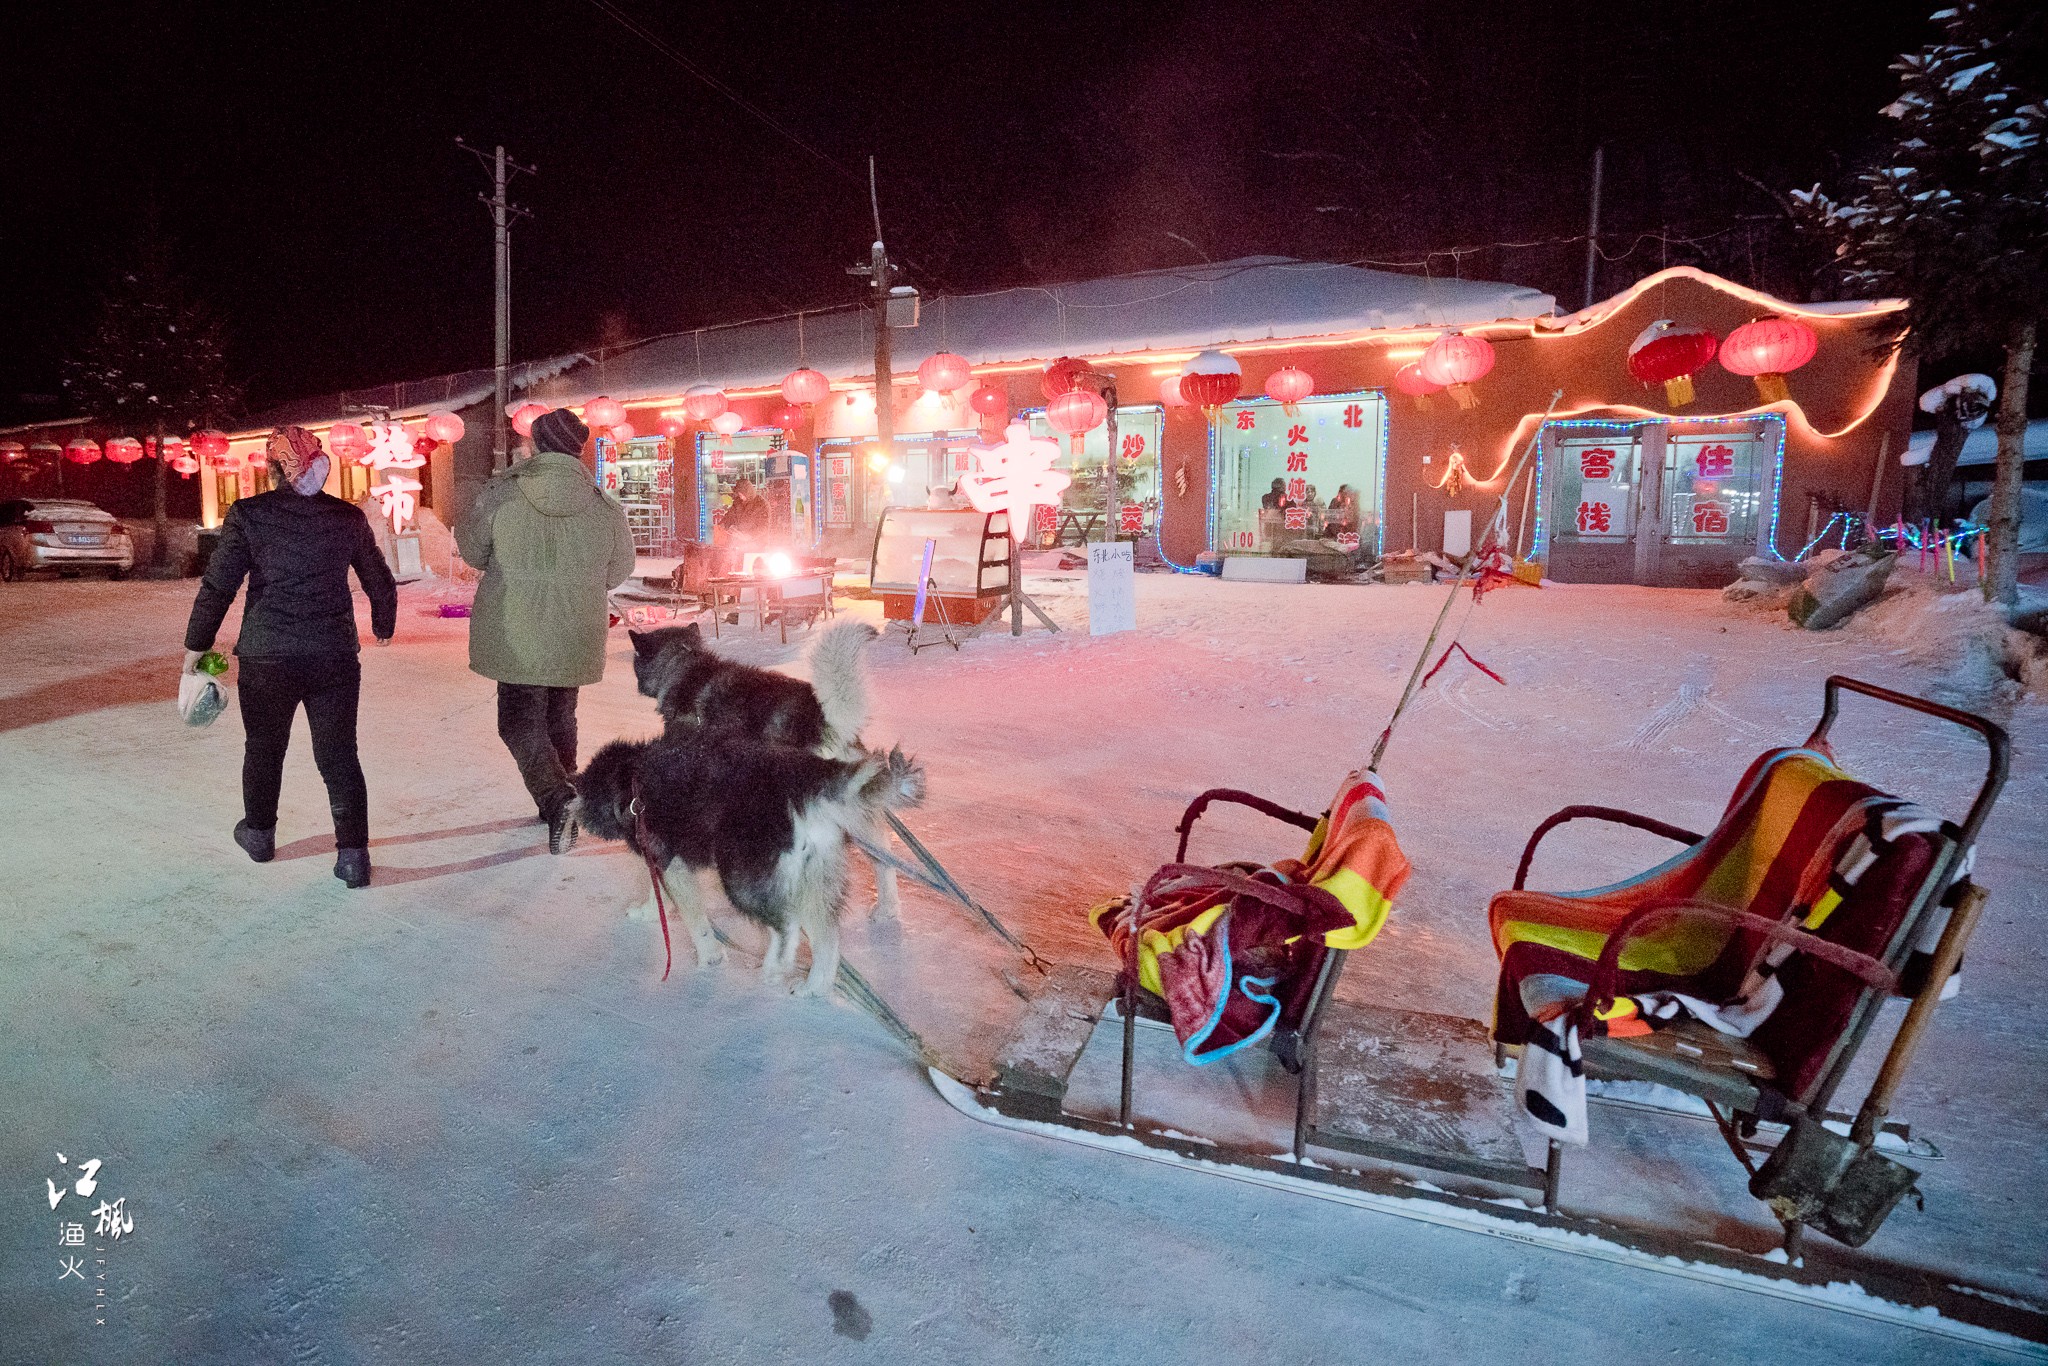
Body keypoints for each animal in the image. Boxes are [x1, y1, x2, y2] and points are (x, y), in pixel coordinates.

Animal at [577, 733, 929, 987]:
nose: (575, 812)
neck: (631, 781)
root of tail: (804, 778)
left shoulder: (671, 861)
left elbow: (694, 919)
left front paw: (710, 957)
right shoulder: (664, 860)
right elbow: (657, 893)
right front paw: (648, 912)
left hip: (743, 880)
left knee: (787, 927)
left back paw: (775, 965)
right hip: (815, 876)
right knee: (826, 940)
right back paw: (813, 989)